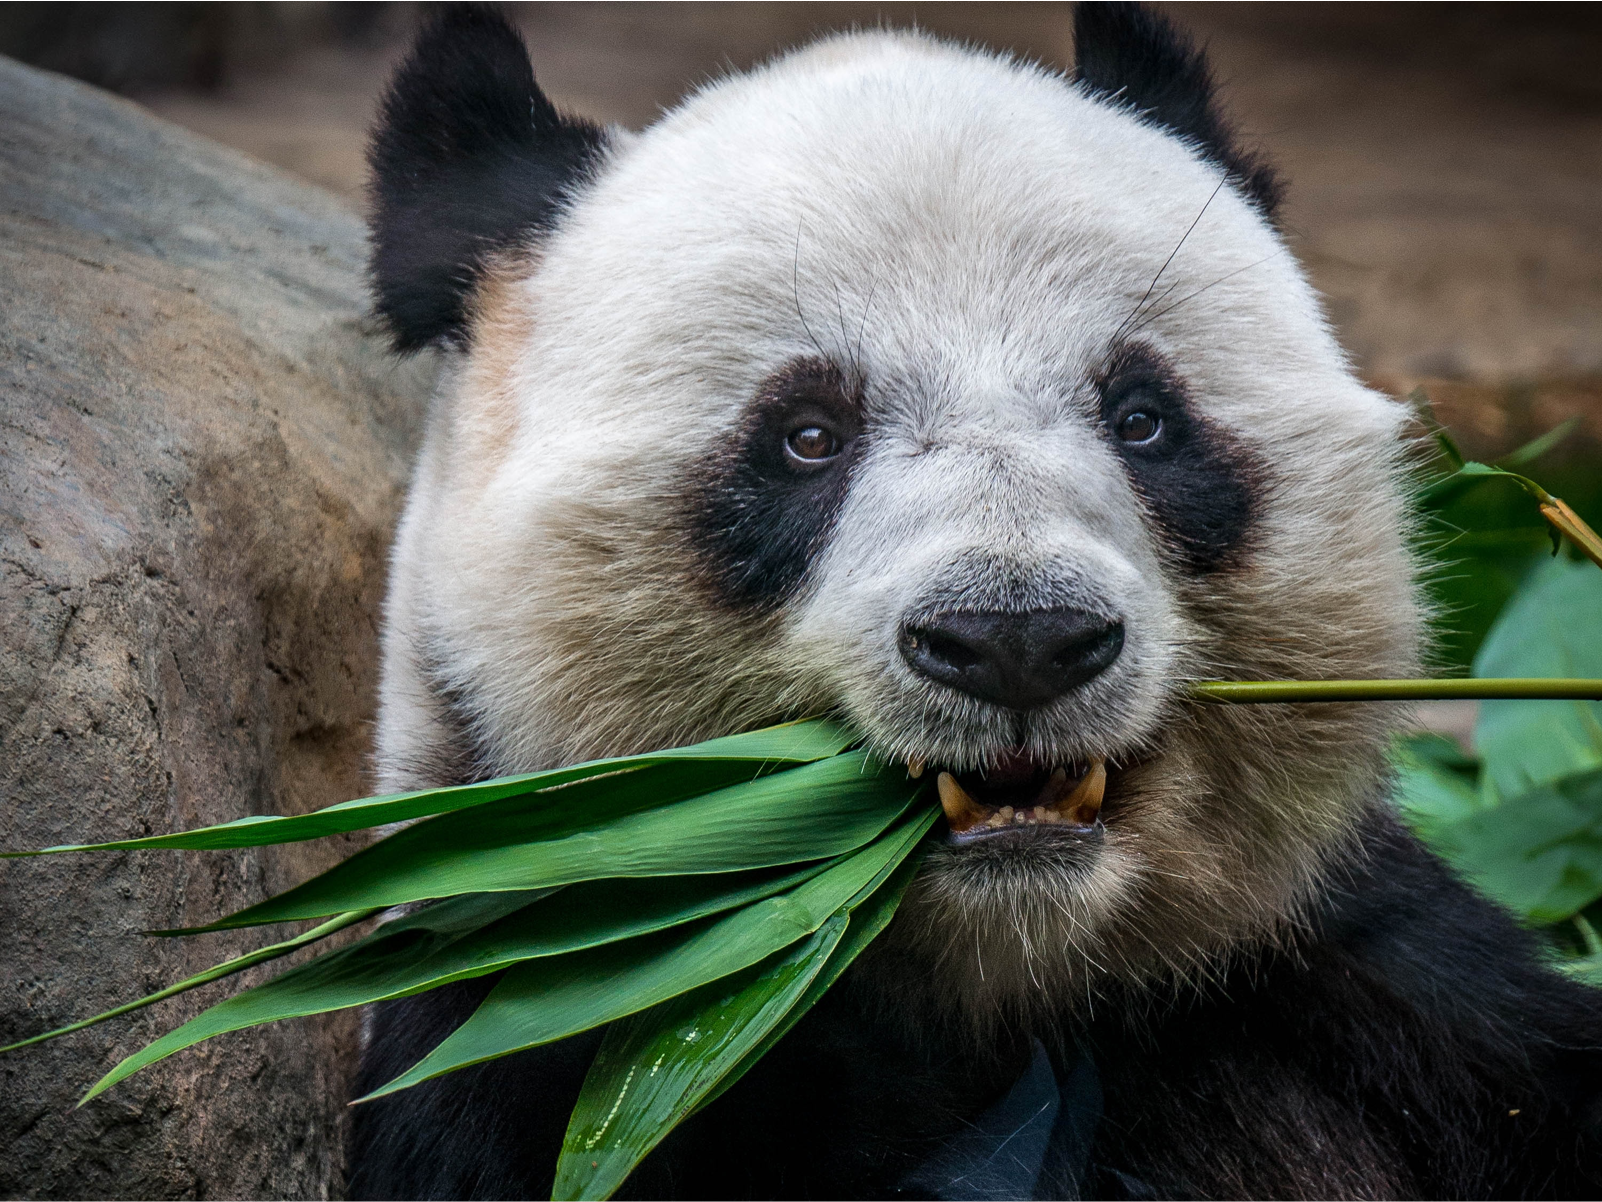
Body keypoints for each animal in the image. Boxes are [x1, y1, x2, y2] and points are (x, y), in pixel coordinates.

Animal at [347, 4, 1602, 1198]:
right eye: (806, 435)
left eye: (1143, 416)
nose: (1019, 640)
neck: (1000, 975)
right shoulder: (551, 1024)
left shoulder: (1359, 977)